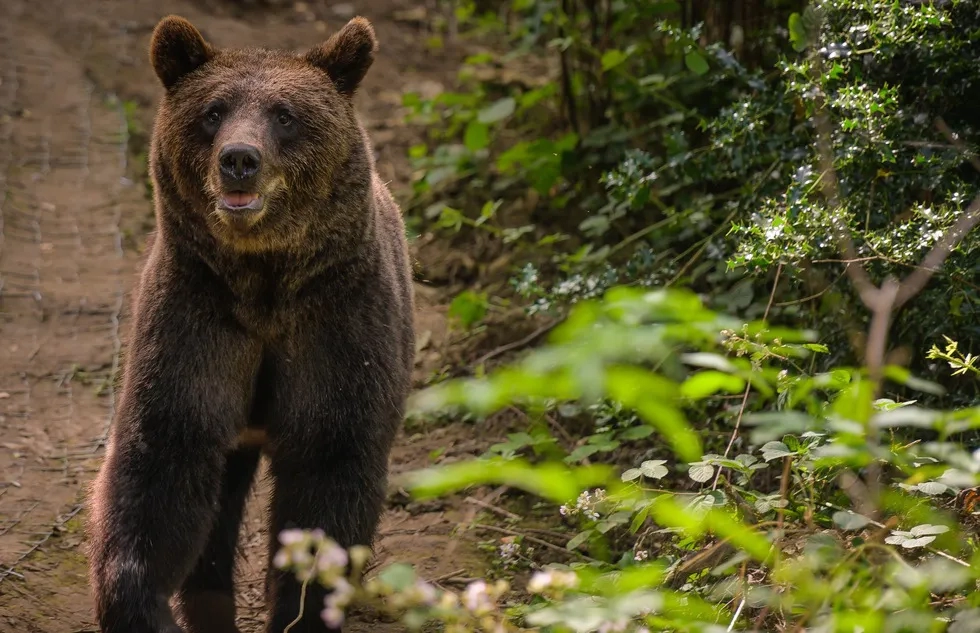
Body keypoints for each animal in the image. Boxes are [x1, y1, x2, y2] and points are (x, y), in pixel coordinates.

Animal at [85, 14, 415, 633]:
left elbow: (330, 466)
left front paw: (301, 610)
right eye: (213, 111)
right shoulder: (199, 316)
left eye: (284, 115)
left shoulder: (336, 321)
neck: (264, 283)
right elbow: (162, 461)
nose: (239, 158)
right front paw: (141, 607)